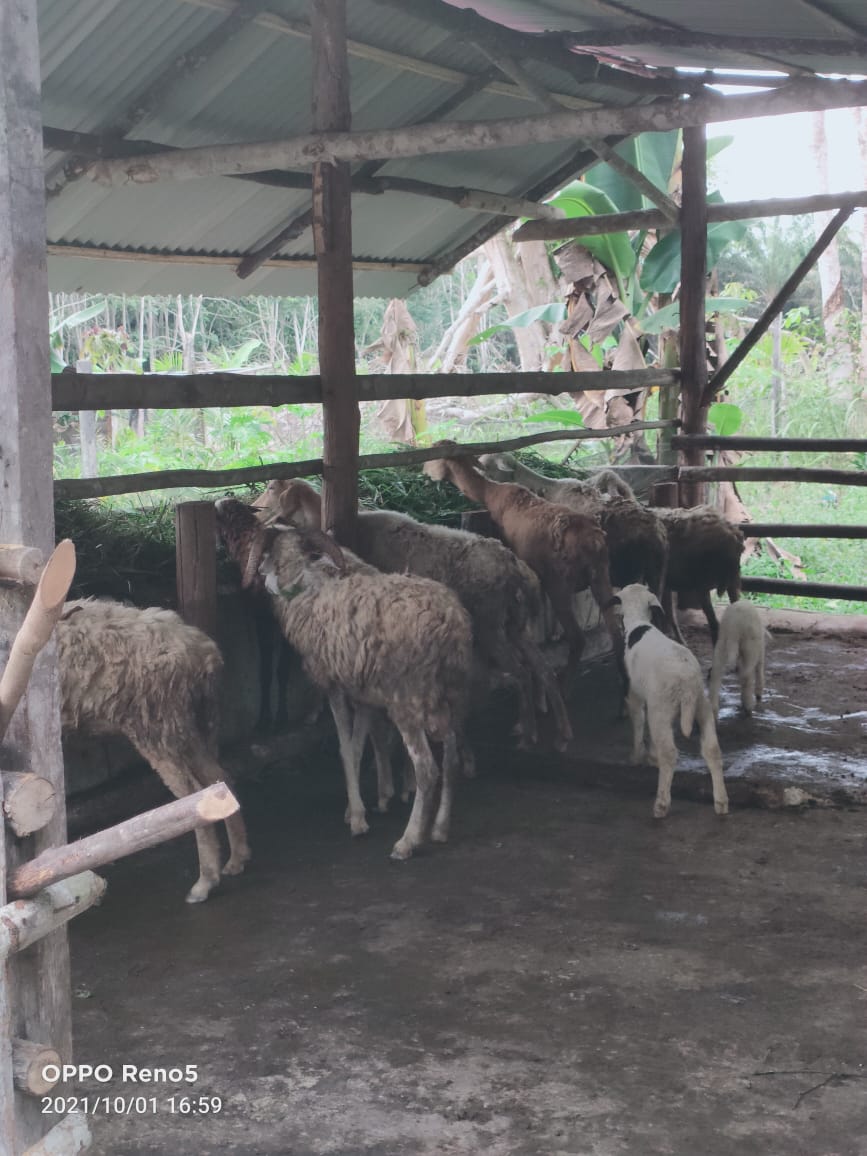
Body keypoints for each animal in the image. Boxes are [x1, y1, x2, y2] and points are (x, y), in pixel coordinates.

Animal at [56, 599, 250, 903]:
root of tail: (203, 652)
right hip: (184, 726)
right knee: (219, 780)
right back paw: (237, 858)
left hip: (156, 726)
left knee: (192, 797)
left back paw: (205, 882)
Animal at [214, 498, 473, 860]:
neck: (305, 584)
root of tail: (449, 623)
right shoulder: (360, 690)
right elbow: (358, 743)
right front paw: (359, 807)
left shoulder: (333, 685)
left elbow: (343, 747)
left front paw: (359, 820)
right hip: (449, 693)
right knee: (449, 760)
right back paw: (439, 828)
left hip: (407, 698)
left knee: (427, 768)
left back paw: (408, 841)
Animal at [256, 478, 572, 749]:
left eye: (271, 488)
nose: (256, 514)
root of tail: (512, 566)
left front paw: (314, 712)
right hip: (512, 624)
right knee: (541, 667)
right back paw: (559, 732)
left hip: (490, 625)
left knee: (521, 672)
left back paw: (527, 734)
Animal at [424, 443, 624, 680]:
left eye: (435, 456)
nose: (424, 471)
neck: (490, 492)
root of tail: (593, 541)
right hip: (601, 574)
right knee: (616, 632)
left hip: (560, 582)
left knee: (577, 638)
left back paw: (565, 679)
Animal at [612, 583, 728, 820]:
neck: (638, 622)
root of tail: (686, 683)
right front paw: (650, 755)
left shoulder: (635, 694)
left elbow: (638, 722)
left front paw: (637, 757)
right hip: (700, 707)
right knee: (712, 749)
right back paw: (721, 802)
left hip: (662, 707)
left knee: (669, 753)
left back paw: (661, 804)